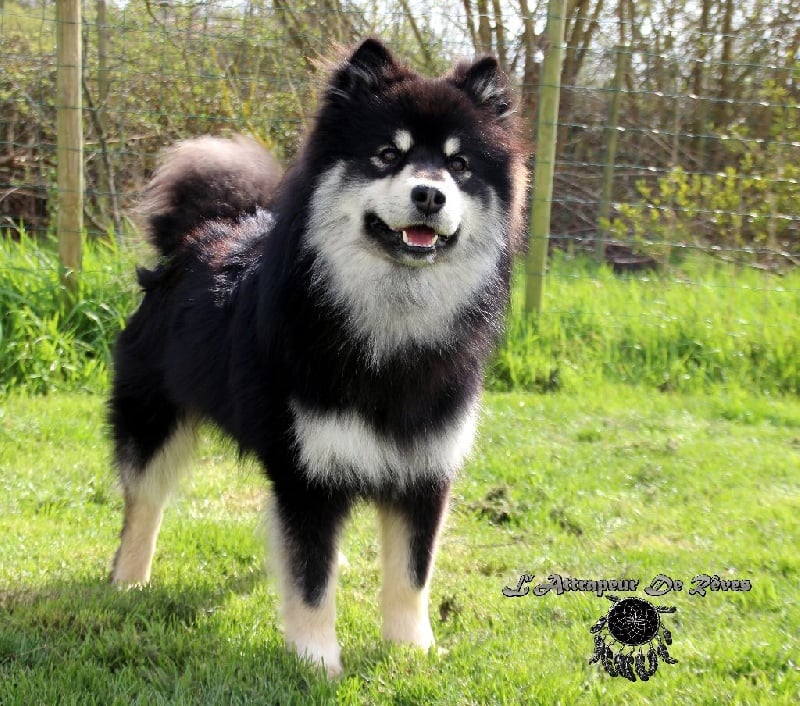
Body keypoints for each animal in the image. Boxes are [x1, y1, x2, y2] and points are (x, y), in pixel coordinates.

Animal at [109, 39, 528, 676]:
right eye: (387, 155)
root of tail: (201, 234)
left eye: (460, 166)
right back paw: (128, 581)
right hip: (154, 417)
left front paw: (411, 650)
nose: (429, 194)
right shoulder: (308, 474)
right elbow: (310, 577)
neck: (391, 329)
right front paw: (315, 660)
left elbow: (411, 573)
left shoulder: (424, 469)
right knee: (144, 502)